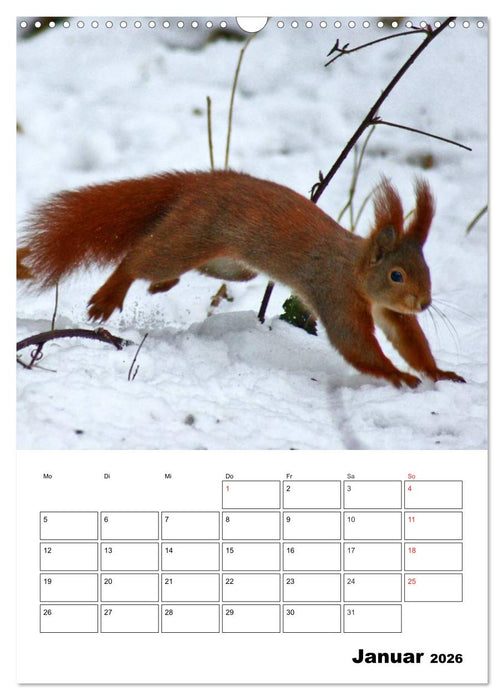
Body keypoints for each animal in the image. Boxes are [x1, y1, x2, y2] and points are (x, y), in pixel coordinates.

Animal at [17, 169, 465, 388]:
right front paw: (396, 375)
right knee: (139, 258)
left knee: (178, 265)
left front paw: (438, 373)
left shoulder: (390, 312)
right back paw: (112, 295)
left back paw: (162, 286)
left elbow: (409, 339)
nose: (424, 302)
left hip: (231, 263)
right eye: (396, 274)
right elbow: (355, 344)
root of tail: (201, 182)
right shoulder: (335, 293)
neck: (354, 270)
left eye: (426, 269)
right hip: (194, 235)